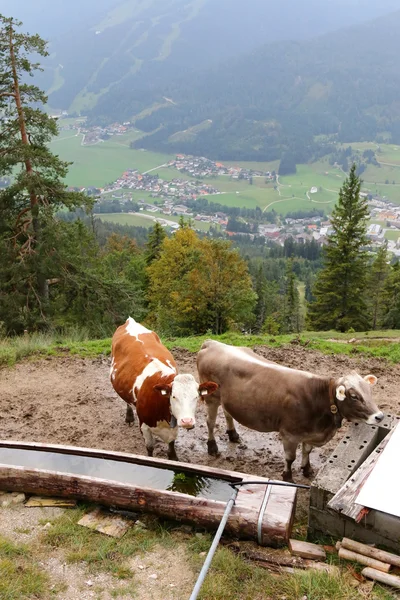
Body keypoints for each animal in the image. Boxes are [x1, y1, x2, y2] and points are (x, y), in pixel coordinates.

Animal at [111, 318, 217, 460]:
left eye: (196, 396)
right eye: (174, 396)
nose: (187, 421)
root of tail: (130, 321)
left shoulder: (173, 425)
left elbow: (171, 444)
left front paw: (173, 457)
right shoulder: (144, 426)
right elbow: (150, 448)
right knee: (127, 402)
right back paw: (129, 417)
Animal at [197, 340, 384, 480]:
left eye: (370, 391)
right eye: (354, 396)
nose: (379, 416)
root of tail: (212, 343)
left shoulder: (311, 433)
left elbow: (307, 451)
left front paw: (307, 469)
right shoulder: (289, 434)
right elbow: (290, 458)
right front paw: (288, 476)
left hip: (227, 400)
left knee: (228, 413)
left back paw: (233, 435)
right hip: (211, 398)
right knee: (210, 422)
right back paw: (212, 447)